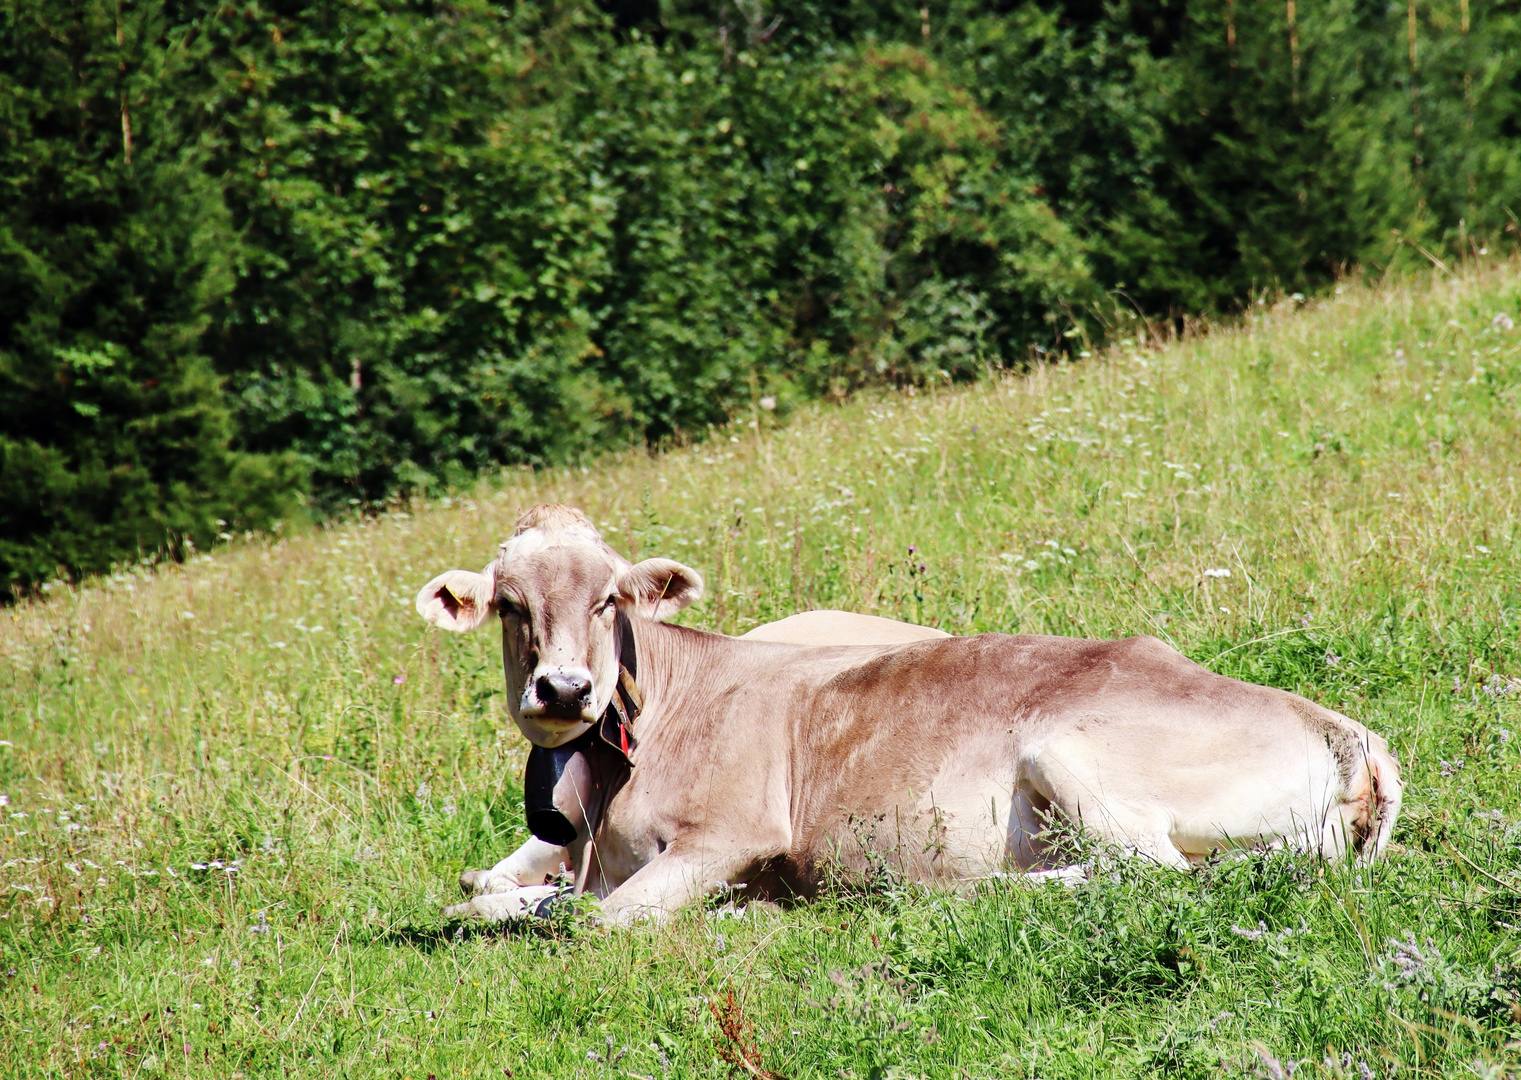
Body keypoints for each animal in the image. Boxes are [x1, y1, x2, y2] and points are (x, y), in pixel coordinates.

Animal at [416, 501, 1399, 924]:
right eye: (510, 605)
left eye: (608, 599)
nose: (563, 690)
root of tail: (1345, 730)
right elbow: (489, 904)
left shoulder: (736, 830)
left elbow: (598, 920)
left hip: (1071, 755)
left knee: (1152, 873)